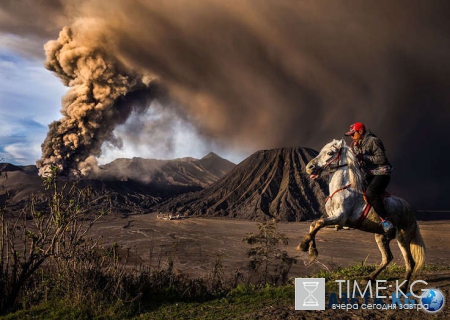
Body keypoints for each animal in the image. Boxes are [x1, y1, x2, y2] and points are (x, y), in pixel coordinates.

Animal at [298, 139, 426, 288]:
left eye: (330, 153)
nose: (309, 167)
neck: (343, 189)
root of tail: (410, 210)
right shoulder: (337, 222)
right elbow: (314, 224)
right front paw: (312, 250)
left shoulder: (339, 218)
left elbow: (318, 223)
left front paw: (304, 246)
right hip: (381, 236)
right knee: (387, 258)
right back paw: (369, 278)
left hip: (403, 237)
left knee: (410, 262)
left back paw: (404, 287)